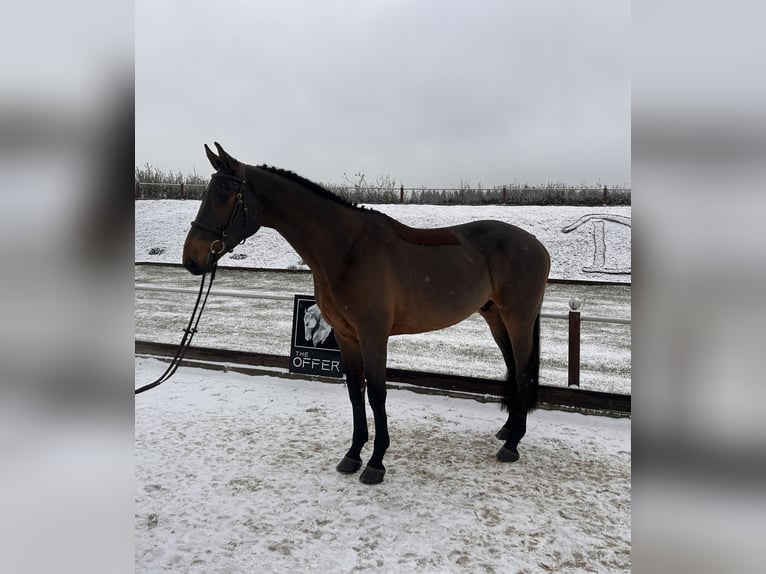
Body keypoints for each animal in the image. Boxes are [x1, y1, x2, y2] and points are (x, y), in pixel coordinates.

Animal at [185, 143, 552, 486]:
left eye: (222, 195)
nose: (192, 259)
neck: (347, 247)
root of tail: (536, 244)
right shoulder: (346, 336)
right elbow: (354, 392)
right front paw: (352, 454)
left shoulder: (373, 335)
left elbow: (376, 393)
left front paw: (376, 462)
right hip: (495, 318)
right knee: (513, 368)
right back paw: (507, 431)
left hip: (517, 318)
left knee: (522, 372)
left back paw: (512, 445)